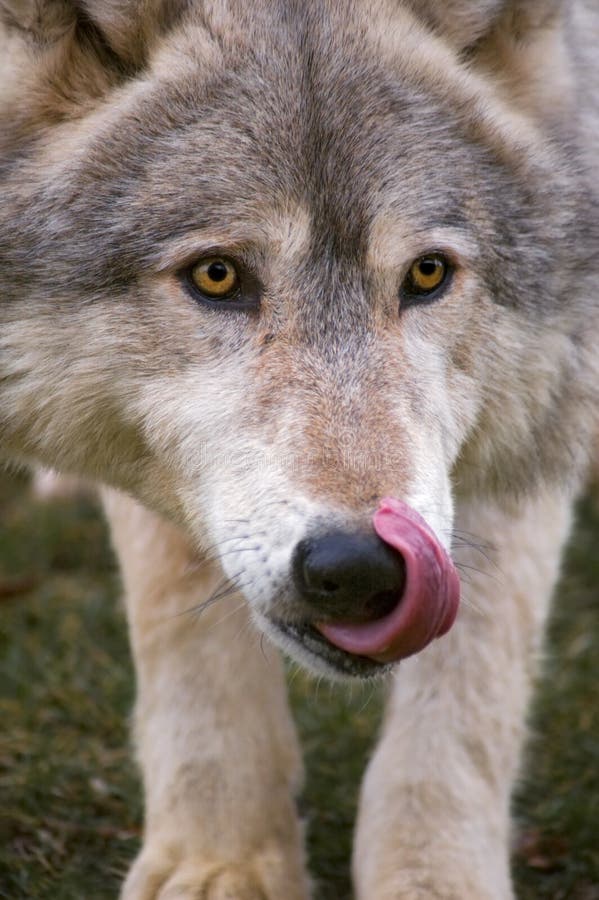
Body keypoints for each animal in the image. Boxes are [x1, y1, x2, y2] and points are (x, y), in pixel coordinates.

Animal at [1, 0, 599, 896]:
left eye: (427, 274)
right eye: (216, 275)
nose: (361, 569)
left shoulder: (532, 418)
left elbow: (470, 690)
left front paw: (431, 878)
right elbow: (184, 625)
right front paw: (221, 859)